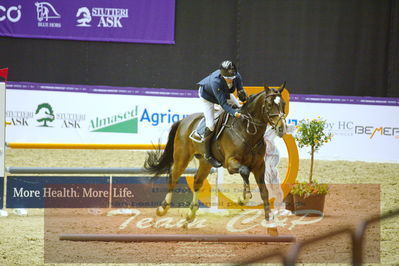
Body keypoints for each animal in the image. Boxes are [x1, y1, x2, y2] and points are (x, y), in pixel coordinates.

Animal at [144, 82, 288, 222]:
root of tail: (184, 120)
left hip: (205, 162)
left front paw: (269, 218)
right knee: (173, 177)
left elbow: (264, 191)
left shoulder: (259, 166)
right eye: (269, 105)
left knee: (197, 181)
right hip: (182, 157)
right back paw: (163, 208)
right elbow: (245, 171)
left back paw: (191, 213)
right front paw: (243, 198)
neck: (247, 132)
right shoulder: (231, 163)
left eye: (283, 104)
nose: (282, 129)